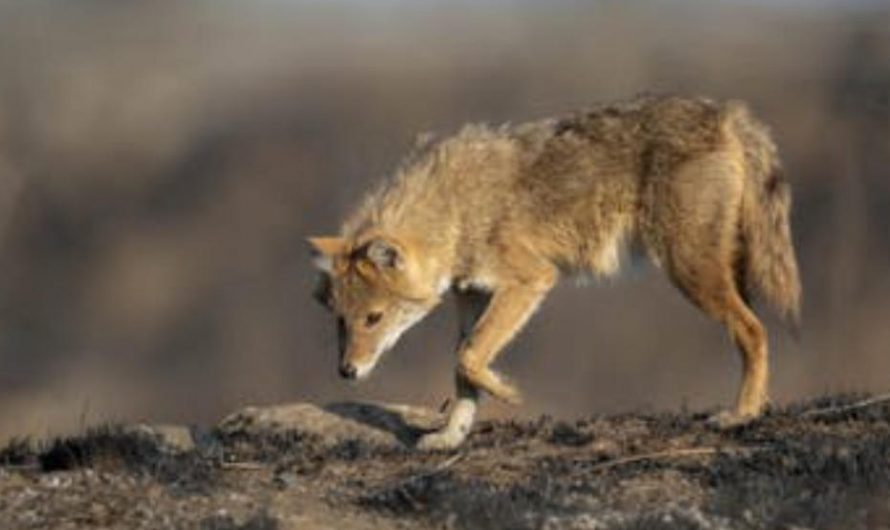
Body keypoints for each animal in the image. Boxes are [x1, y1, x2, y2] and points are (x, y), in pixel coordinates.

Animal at [309, 95, 801, 450]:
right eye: (340, 322)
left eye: (374, 319)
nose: (346, 372)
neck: (454, 210)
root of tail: (727, 113)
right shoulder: (471, 297)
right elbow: (463, 371)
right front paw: (450, 437)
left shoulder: (530, 280)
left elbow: (470, 356)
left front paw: (508, 393)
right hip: (718, 272)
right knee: (750, 333)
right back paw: (756, 405)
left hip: (690, 271)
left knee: (754, 331)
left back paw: (742, 414)